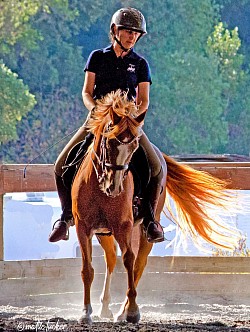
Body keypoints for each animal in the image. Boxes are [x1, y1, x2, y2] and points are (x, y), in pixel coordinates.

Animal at [71, 89, 241, 322]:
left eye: (134, 147)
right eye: (110, 141)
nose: (115, 186)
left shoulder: (123, 226)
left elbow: (129, 262)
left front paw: (133, 311)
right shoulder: (84, 227)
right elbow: (87, 269)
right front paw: (85, 312)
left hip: (143, 228)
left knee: (138, 264)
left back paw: (123, 311)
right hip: (105, 232)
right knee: (111, 260)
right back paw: (105, 308)